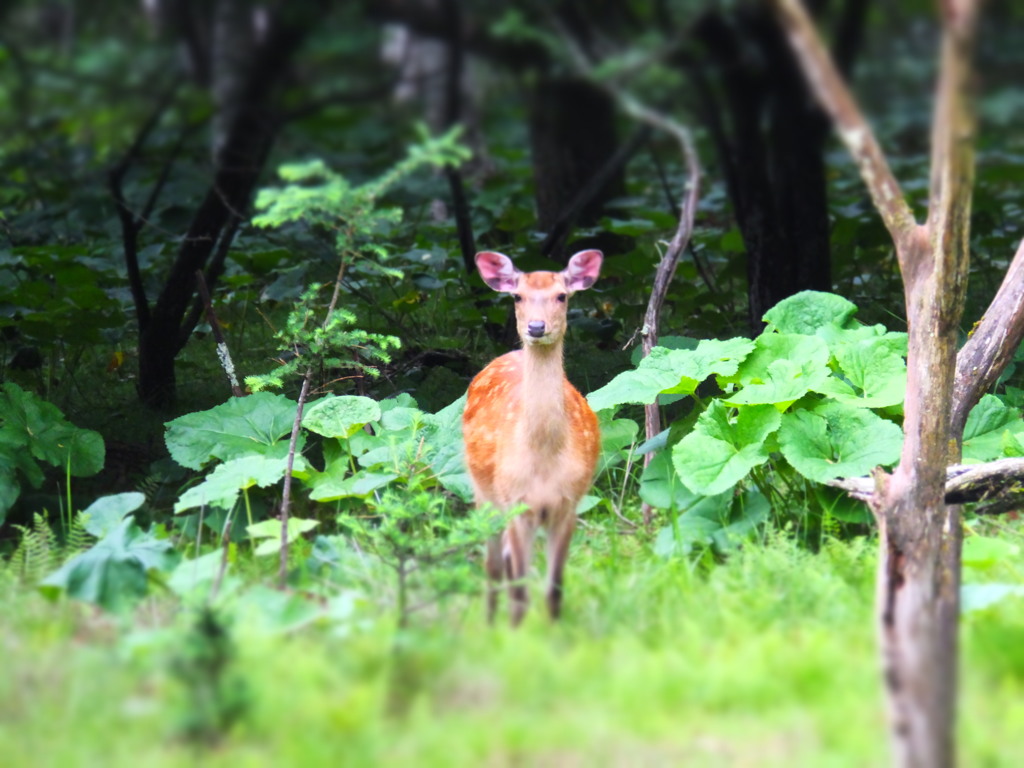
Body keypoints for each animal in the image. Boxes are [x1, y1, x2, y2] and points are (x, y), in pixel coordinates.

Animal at [462, 249, 602, 626]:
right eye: (517, 296)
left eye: (562, 295)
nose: (536, 327)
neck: (543, 460)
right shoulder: (515, 502)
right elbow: (519, 594)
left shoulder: (568, 504)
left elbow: (553, 590)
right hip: (483, 492)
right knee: (494, 566)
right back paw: (489, 623)